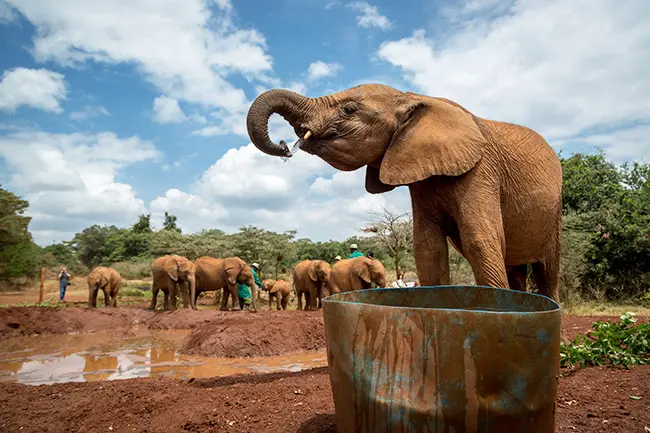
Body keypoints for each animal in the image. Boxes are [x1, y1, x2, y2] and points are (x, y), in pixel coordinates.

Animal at [244, 83, 560, 300]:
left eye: (348, 110)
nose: (285, 147)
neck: (411, 97)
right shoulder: (421, 180)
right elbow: (428, 248)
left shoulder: (481, 171)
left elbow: (479, 241)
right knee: (515, 268)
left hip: (554, 213)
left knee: (547, 271)